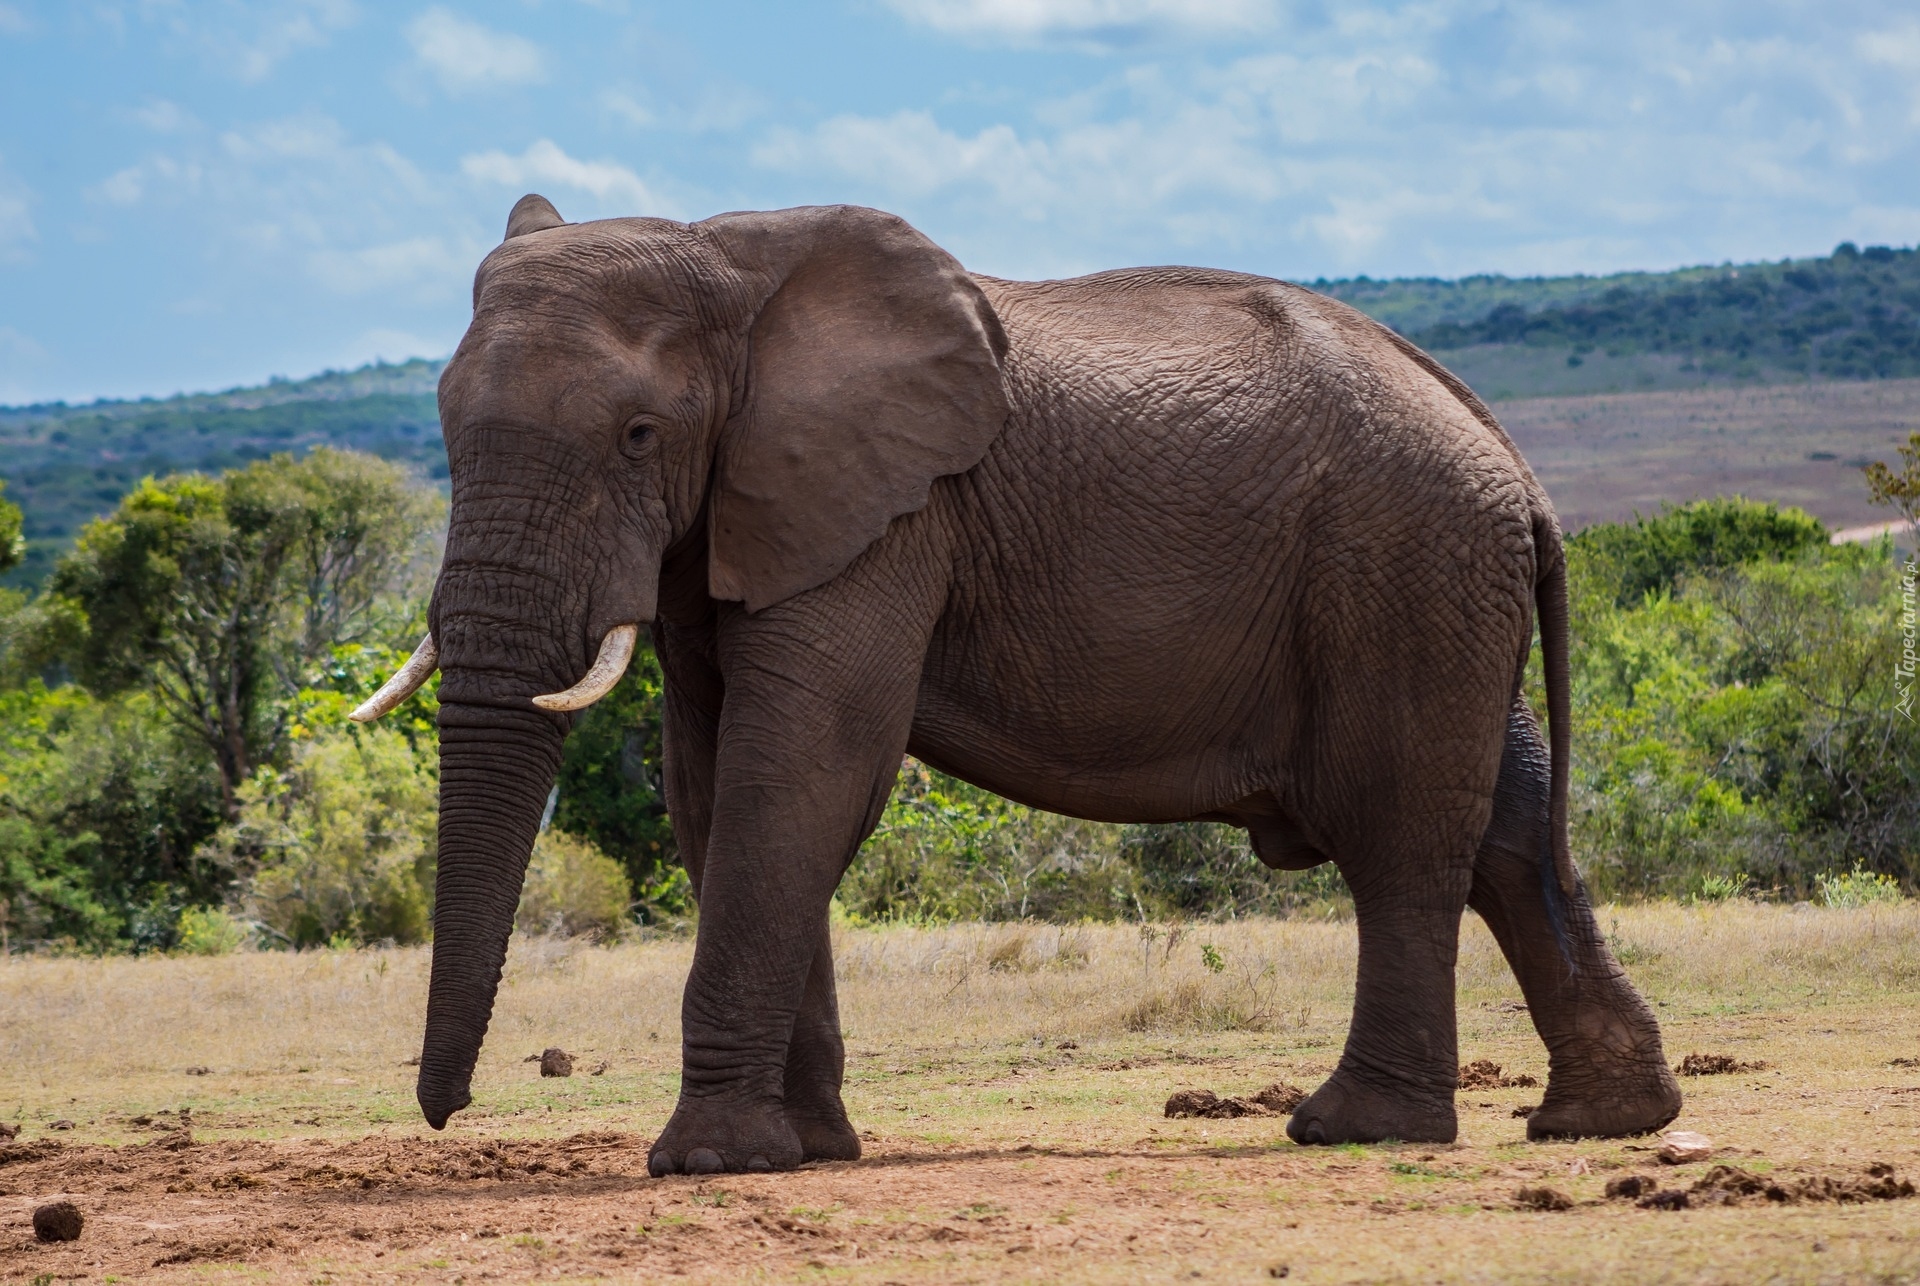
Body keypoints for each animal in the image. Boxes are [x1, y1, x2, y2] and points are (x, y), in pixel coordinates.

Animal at [357, 193, 1681, 1182]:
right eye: (443, 428)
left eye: (638, 434)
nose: (447, 1112)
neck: (728, 255)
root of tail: (1516, 462)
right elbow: (713, 785)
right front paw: (813, 1149)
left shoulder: (891, 518)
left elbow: (804, 772)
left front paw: (710, 1158)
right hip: (1441, 593)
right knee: (1511, 831)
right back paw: (1605, 1120)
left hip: (1403, 569)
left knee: (1407, 837)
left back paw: (1353, 1127)